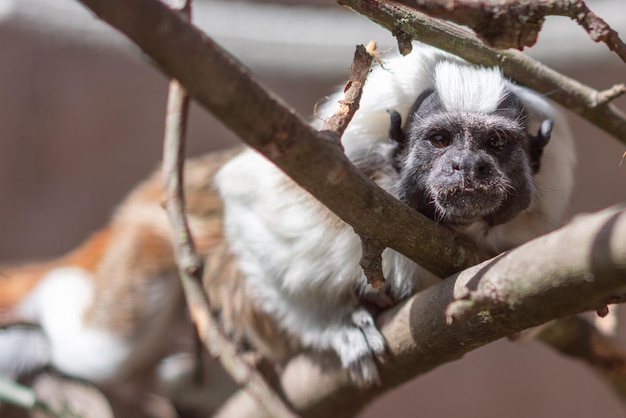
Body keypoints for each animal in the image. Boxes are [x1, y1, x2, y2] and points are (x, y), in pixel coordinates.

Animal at [0, 43, 572, 388]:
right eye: (440, 140)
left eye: (495, 144)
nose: (466, 166)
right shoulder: (342, 184)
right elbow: (249, 197)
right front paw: (335, 328)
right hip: (150, 238)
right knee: (102, 351)